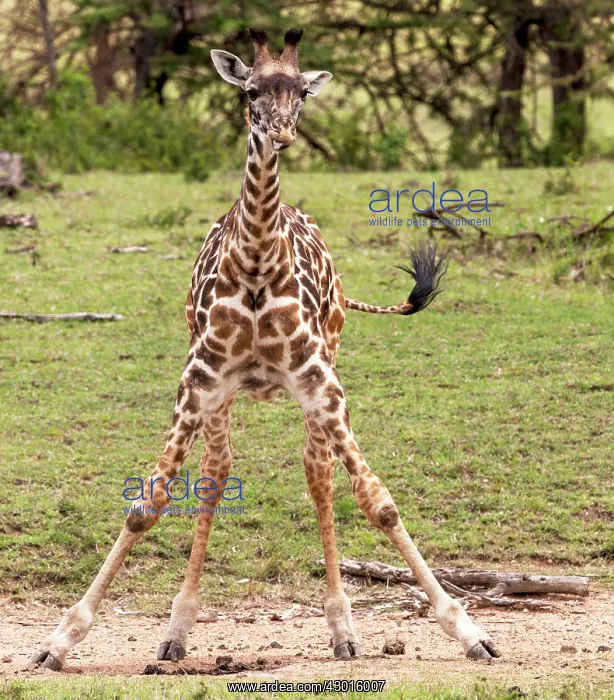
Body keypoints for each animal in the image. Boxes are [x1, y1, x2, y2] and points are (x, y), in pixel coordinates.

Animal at [30, 28, 500, 671]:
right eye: (251, 90)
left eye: (302, 91)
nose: (282, 133)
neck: (254, 263)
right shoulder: (199, 381)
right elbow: (148, 504)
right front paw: (61, 638)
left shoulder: (321, 383)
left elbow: (377, 501)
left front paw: (469, 630)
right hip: (222, 396)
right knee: (216, 471)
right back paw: (178, 631)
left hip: (325, 365)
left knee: (319, 475)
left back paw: (343, 629)